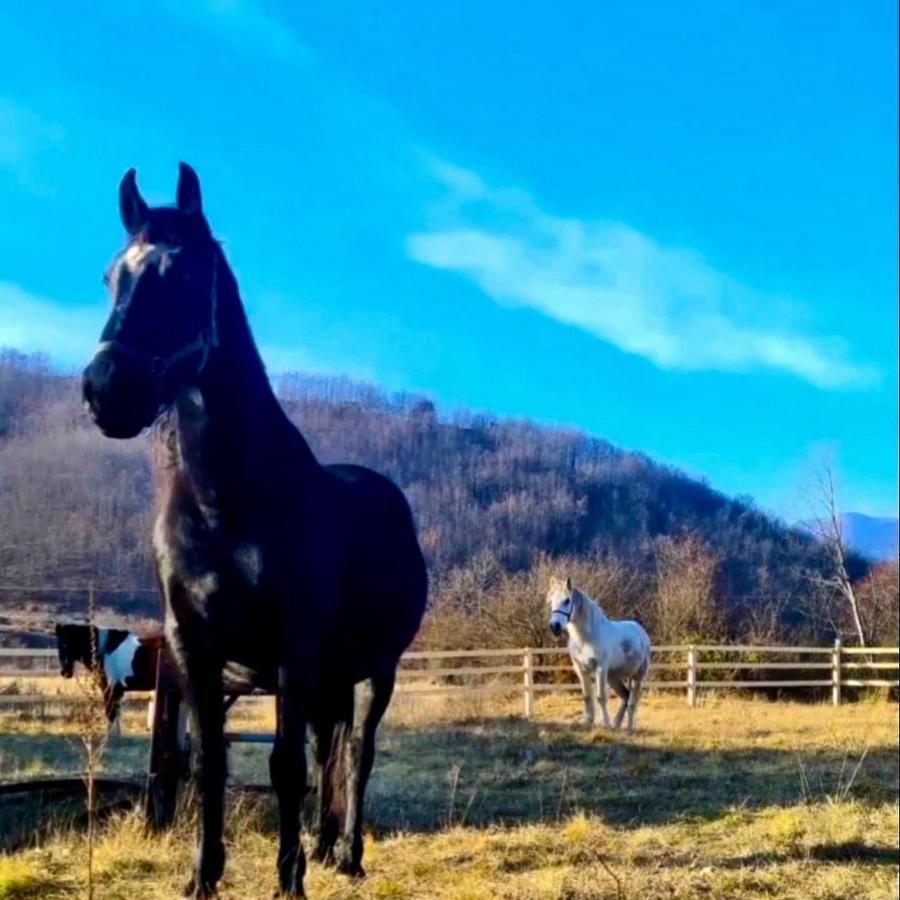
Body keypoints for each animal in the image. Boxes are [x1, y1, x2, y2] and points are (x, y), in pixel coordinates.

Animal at [81, 165, 428, 896]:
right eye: (109, 276)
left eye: (185, 273)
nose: (106, 390)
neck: (225, 504)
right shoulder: (195, 648)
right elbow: (211, 763)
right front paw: (202, 878)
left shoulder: (293, 646)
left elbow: (286, 769)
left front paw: (288, 882)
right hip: (330, 675)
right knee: (329, 747)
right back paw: (323, 846)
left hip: (375, 668)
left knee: (355, 753)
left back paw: (347, 854)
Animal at [544, 576, 652, 732]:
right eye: (550, 601)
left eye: (567, 600)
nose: (555, 627)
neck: (586, 638)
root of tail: (641, 632)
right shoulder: (581, 669)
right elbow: (586, 696)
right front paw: (588, 721)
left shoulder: (600, 668)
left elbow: (600, 697)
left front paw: (605, 723)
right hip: (613, 677)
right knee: (625, 696)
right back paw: (616, 724)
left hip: (637, 676)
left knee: (632, 702)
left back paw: (629, 727)